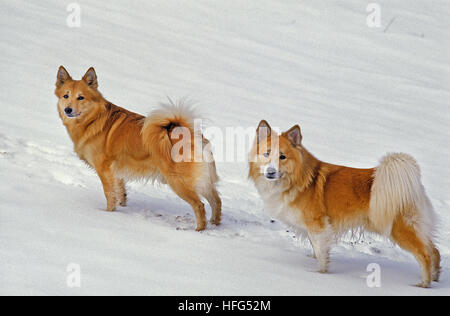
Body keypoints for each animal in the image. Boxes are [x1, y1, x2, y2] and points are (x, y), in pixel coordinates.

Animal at [54, 66, 221, 231]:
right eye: (66, 96)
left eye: (81, 97)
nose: (68, 110)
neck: (93, 120)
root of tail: (190, 134)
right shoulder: (116, 171)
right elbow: (120, 191)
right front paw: (121, 207)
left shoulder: (104, 170)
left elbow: (109, 194)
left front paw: (108, 213)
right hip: (201, 180)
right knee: (216, 200)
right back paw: (215, 222)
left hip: (178, 182)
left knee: (199, 205)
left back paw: (199, 230)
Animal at [251, 119, 442, 288]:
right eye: (266, 154)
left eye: (282, 157)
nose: (270, 172)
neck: (298, 180)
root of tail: (412, 184)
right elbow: (317, 249)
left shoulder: (318, 225)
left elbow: (321, 254)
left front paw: (320, 274)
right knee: (434, 251)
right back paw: (436, 279)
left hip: (400, 229)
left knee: (425, 255)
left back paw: (423, 284)